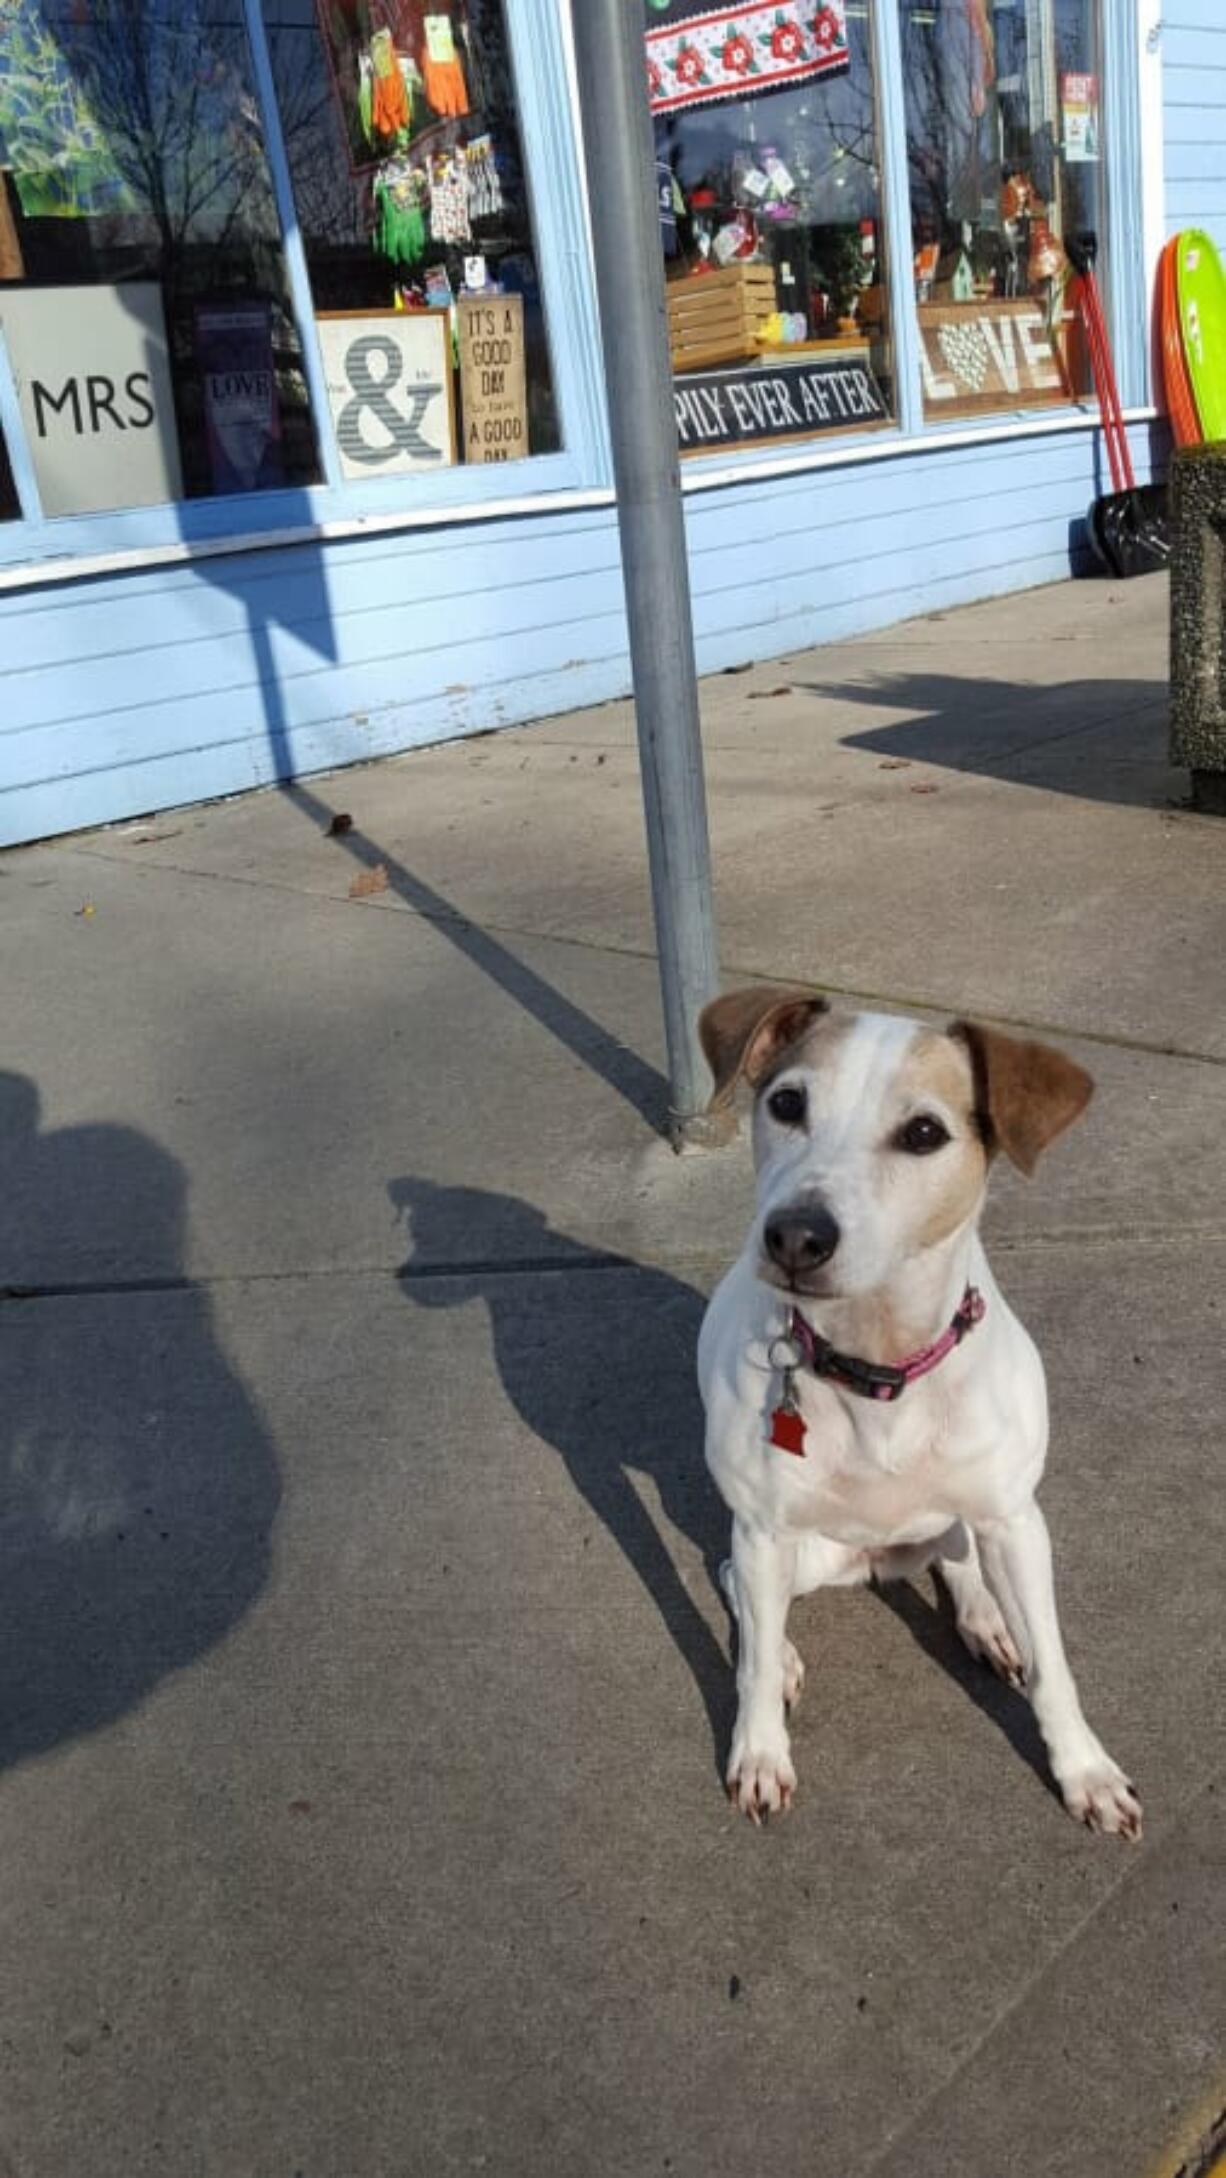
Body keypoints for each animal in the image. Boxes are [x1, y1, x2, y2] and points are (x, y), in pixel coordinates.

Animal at [696, 988, 1149, 1838]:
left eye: (925, 1133)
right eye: (786, 1103)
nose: (795, 1235)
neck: (879, 1363)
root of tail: (878, 1559)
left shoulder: (1014, 1519)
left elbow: (1055, 1668)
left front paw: (1086, 1771)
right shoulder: (764, 1527)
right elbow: (754, 1654)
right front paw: (761, 1749)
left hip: (967, 1523)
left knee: (957, 1558)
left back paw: (988, 1621)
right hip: (797, 1552)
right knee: (738, 1587)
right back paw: (784, 1654)